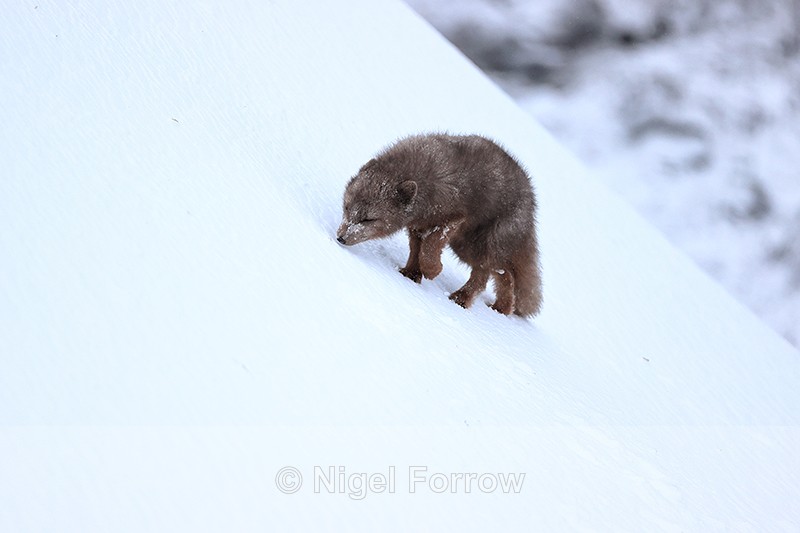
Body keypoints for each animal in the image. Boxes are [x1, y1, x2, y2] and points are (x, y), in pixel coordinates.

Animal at [336, 133, 542, 317]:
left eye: (368, 219)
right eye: (346, 207)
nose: (340, 238)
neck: (425, 183)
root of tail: (531, 204)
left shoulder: (453, 218)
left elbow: (429, 247)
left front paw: (431, 271)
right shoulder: (418, 225)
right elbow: (416, 249)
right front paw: (410, 274)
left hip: (481, 245)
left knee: (485, 275)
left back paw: (462, 299)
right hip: (465, 247)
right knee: (504, 273)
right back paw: (502, 309)